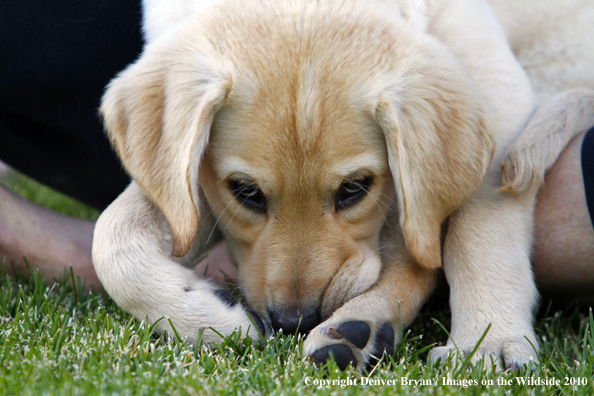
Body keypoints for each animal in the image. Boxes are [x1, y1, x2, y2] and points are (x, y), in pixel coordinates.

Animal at [91, 0, 592, 372]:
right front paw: (209, 318)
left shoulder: (501, 101)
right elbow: (111, 236)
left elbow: (479, 229)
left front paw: (489, 341)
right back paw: (357, 333)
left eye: (354, 188)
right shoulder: (192, 183)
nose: (295, 321)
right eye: (246, 192)